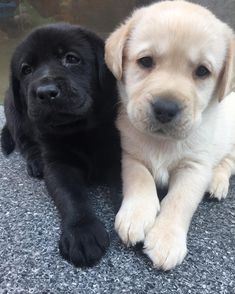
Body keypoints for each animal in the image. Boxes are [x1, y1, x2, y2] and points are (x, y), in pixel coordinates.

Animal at [0, 23, 120, 266]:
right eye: (26, 70)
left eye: (71, 58)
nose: (45, 93)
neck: (80, 128)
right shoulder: (58, 165)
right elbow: (71, 196)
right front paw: (82, 233)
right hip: (16, 113)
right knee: (25, 142)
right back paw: (36, 162)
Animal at [105, 0, 235, 272]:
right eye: (145, 61)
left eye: (202, 71)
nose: (165, 108)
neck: (162, 142)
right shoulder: (130, 154)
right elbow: (140, 178)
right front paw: (136, 214)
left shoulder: (195, 168)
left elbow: (179, 201)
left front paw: (166, 239)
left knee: (228, 162)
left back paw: (218, 182)